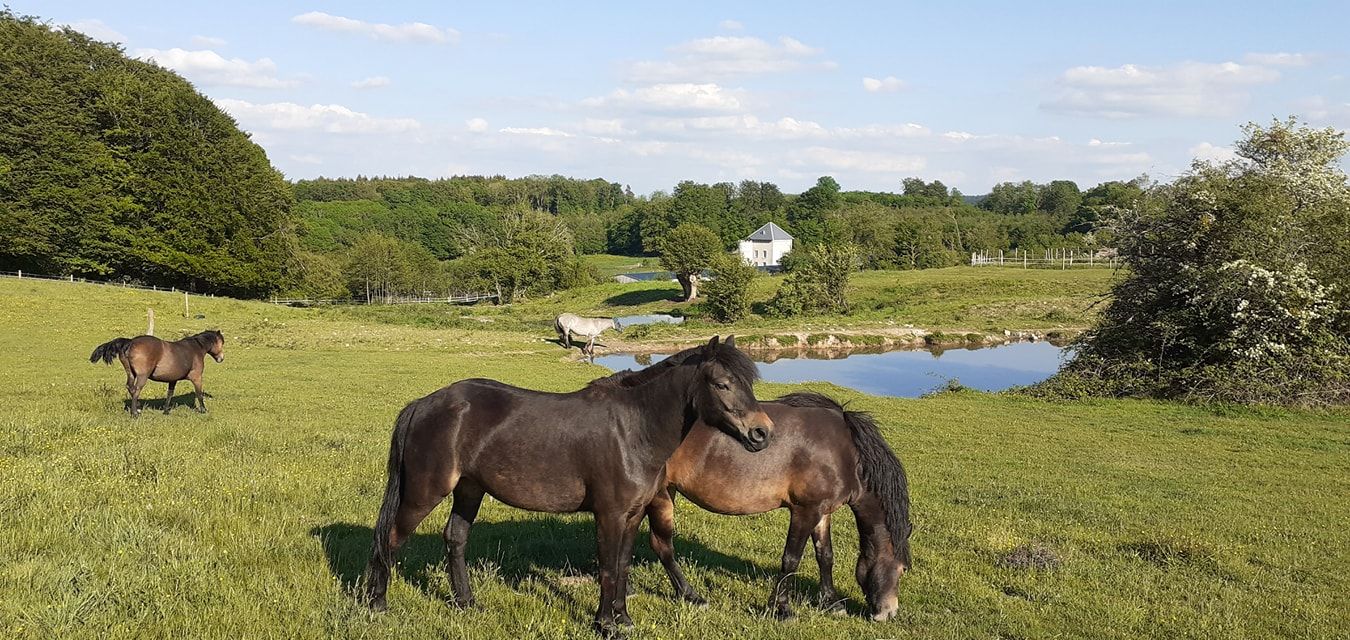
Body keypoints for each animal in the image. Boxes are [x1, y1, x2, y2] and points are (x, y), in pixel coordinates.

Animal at [89, 332, 222, 418]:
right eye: (222, 343)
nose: (221, 358)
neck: (195, 348)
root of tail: (130, 342)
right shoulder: (197, 377)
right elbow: (199, 394)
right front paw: (204, 410)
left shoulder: (173, 380)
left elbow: (169, 394)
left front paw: (166, 411)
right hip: (142, 376)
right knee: (136, 389)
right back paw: (135, 413)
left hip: (131, 373)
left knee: (130, 387)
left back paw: (138, 408)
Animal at [364, 334, 777, 634]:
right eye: (722, 384)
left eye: (748, 382)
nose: (762, 433)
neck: (633, 428)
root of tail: (423, 404)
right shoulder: (609, 514)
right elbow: (608, 567)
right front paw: (606, 624)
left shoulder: (633, 514)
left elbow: (623, 564)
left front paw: (624, 618)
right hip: (424, 492)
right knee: (390, 539)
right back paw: (377, 605)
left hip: (469, 488)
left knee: (455, 538)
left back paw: (467, 602)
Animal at [596, 359, 912, 621]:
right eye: (901, 569)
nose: (888, 613)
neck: (843, 450)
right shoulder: (804, 511)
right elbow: (791, 559)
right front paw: (782, 609)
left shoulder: (822, 511)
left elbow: (825, 555)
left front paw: (831, 602)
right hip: (660, 496)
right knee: (662, 545)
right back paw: (689, 595)